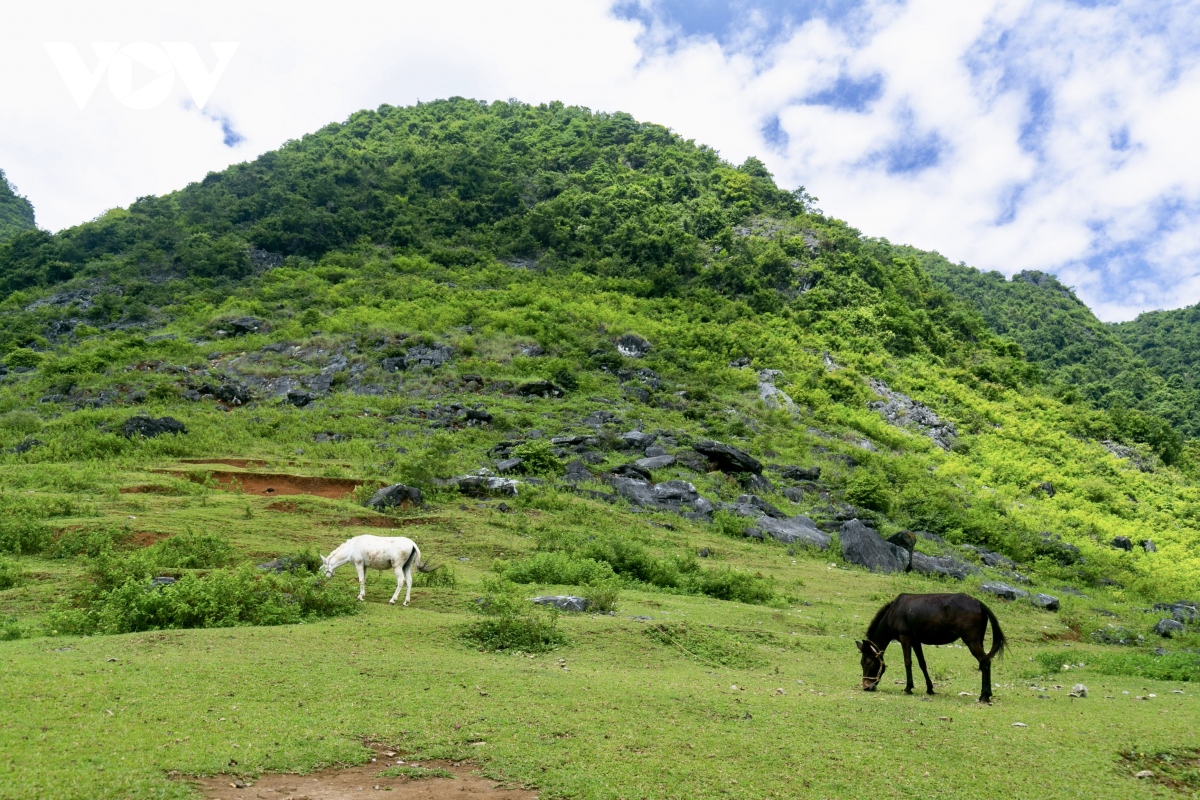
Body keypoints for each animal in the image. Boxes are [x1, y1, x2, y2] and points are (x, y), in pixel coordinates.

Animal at [859, 594, 1008, 700]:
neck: (893, 613)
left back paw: (984, 696)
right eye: (861, 663)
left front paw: (908, 688)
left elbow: (908, 662)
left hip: (971, 641)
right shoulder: (915, 641)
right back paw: (987, 693)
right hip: (979, 641)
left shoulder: (905, 638)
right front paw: (930, 688)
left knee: (985, 662)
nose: (866, 686)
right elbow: (922, 663)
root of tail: (979, 603)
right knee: (984, 663)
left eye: (869, 661)